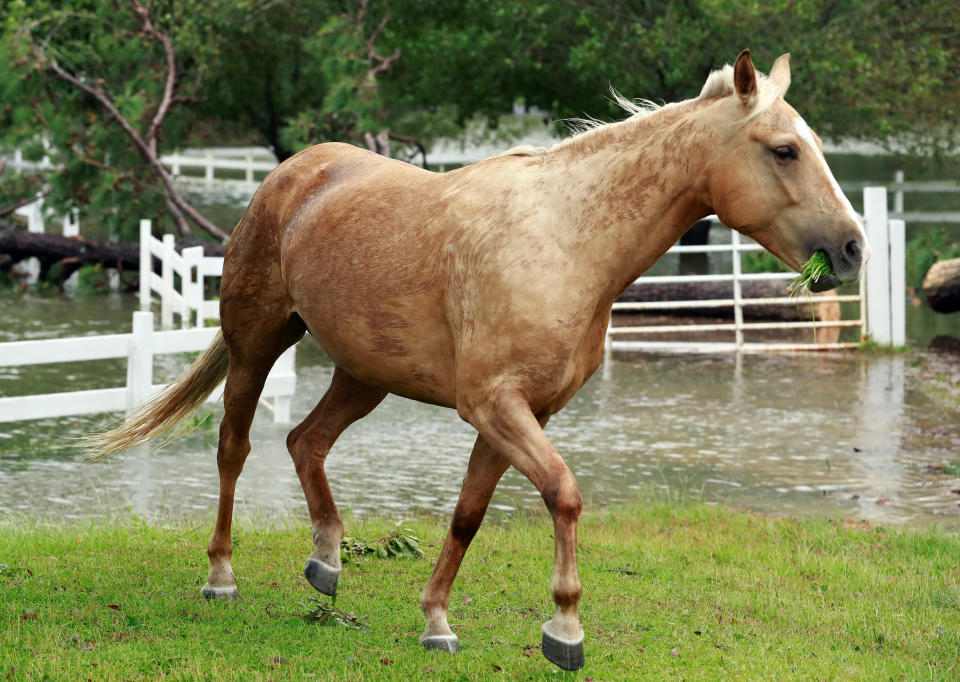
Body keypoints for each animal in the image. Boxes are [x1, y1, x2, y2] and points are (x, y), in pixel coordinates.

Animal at [90, 51, 872, 668]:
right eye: (783, 149)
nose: (852, 248)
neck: (566, 240)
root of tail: (292, 172)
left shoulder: (525, 413)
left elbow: (469, 513)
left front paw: (436, 621)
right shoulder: (495, 405)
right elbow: (564, 493)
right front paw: (565, 629)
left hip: (363, 375)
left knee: (305, 442)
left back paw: (327, 560)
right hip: (257, 345)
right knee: (235, 446)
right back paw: (221, 577)